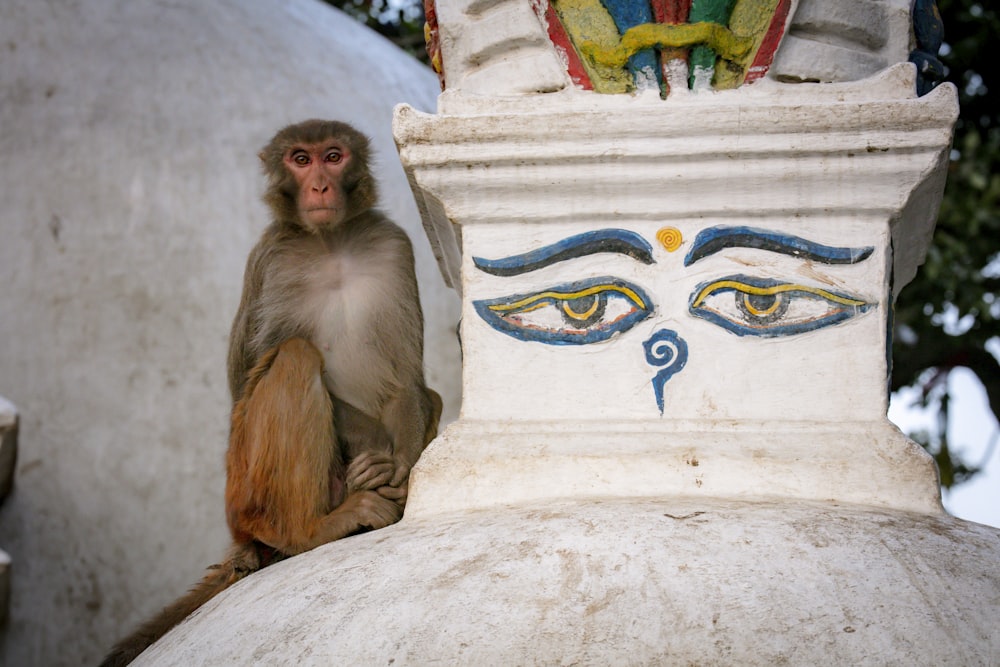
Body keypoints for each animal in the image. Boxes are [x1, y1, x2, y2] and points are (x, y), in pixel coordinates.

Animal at [101, 120, 442, 667]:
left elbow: (408, 379)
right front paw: (379, 457)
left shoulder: (394, 248)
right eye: (300, 160)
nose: (319, 186)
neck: (331, 245)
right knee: (295, 356)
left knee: (429, 395)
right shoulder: (273, 258)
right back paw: (306, 531)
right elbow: (245, 375)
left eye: (332, 156)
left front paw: (400, 472)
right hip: (244, 480)